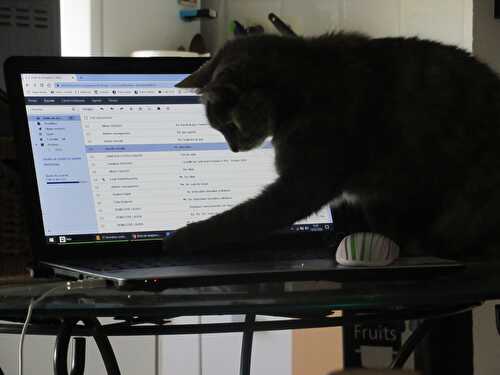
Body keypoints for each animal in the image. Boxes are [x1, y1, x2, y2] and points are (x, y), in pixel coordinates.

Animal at [163, 32, 500, 258]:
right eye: (218, 130)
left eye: (229, 126)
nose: (232, 148)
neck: (302, 85)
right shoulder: (375, 198)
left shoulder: (304, 182)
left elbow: (242, 217)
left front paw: (183, 237)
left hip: (468, 201)